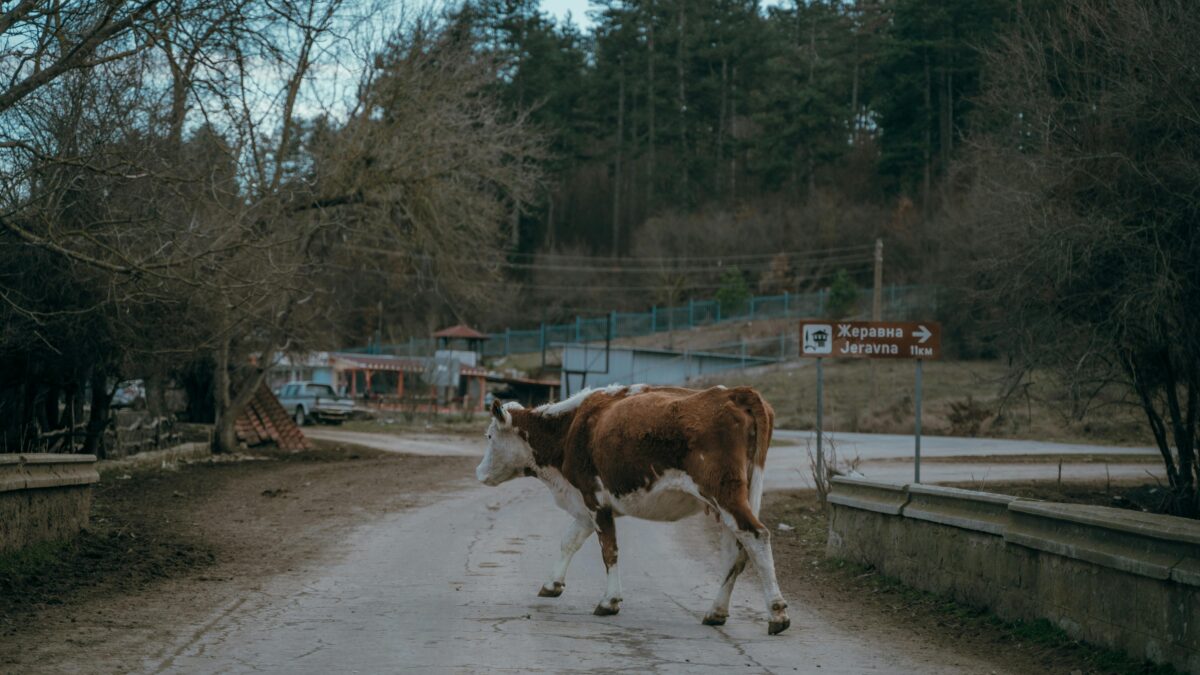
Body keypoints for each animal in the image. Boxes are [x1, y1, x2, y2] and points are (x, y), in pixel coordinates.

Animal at [472, 381, 792, 634]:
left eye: (489, 436)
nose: (479, 473)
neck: (572, 426)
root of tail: (735, 393)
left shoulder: (595, 500)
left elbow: (609, 550)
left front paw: (609, 601)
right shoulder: (584, 504)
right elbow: (569, 541)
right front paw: (552, 584)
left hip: (724, 494)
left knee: (756, 537)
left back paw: (777, 613)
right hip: (734, 499)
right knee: (735, 552)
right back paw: (716, 612)